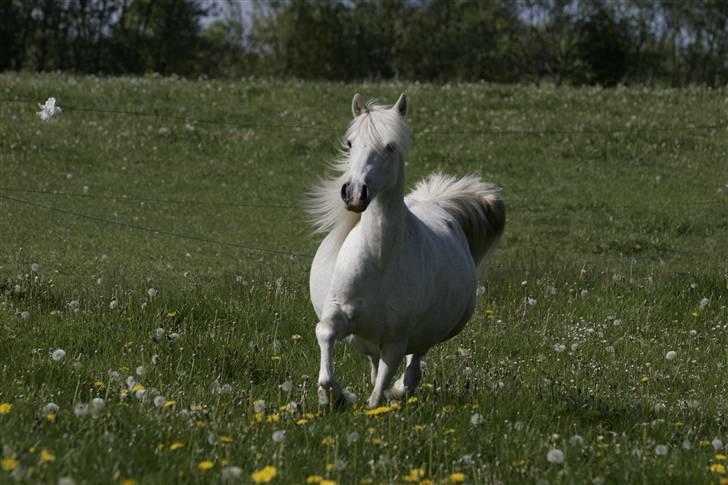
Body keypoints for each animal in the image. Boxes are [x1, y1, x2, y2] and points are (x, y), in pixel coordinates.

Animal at [308, 92, 506, 406]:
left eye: (390, 146)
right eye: (350, 143)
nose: (354, 194)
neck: (379, 259)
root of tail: (435, 203)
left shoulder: (395, 340)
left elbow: (378, 393)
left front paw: (375, 399)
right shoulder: (337, 314)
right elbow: (326, 340)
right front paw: (334, 397)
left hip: (426, 334)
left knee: (414, 361)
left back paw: (402, 388)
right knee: (373, 361)